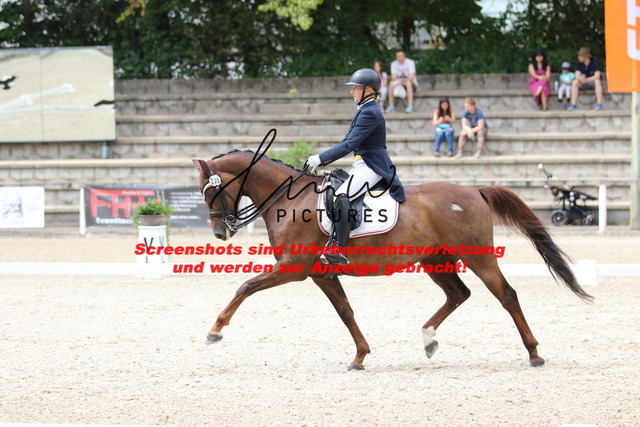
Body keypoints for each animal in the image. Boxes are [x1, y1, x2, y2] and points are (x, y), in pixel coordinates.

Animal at [192, 149, 593, 371]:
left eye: (209, 191)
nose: (220, 233)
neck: (290, 201)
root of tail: (474, 191)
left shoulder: (293, 268)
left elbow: (245, 286)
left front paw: (215, 330)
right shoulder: (321, 274)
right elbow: (346, 312)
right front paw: (359, 357)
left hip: (476, 256)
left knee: (506, 295)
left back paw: (534, 354)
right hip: (435, 260)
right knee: (458, 294)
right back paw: (428, 339)